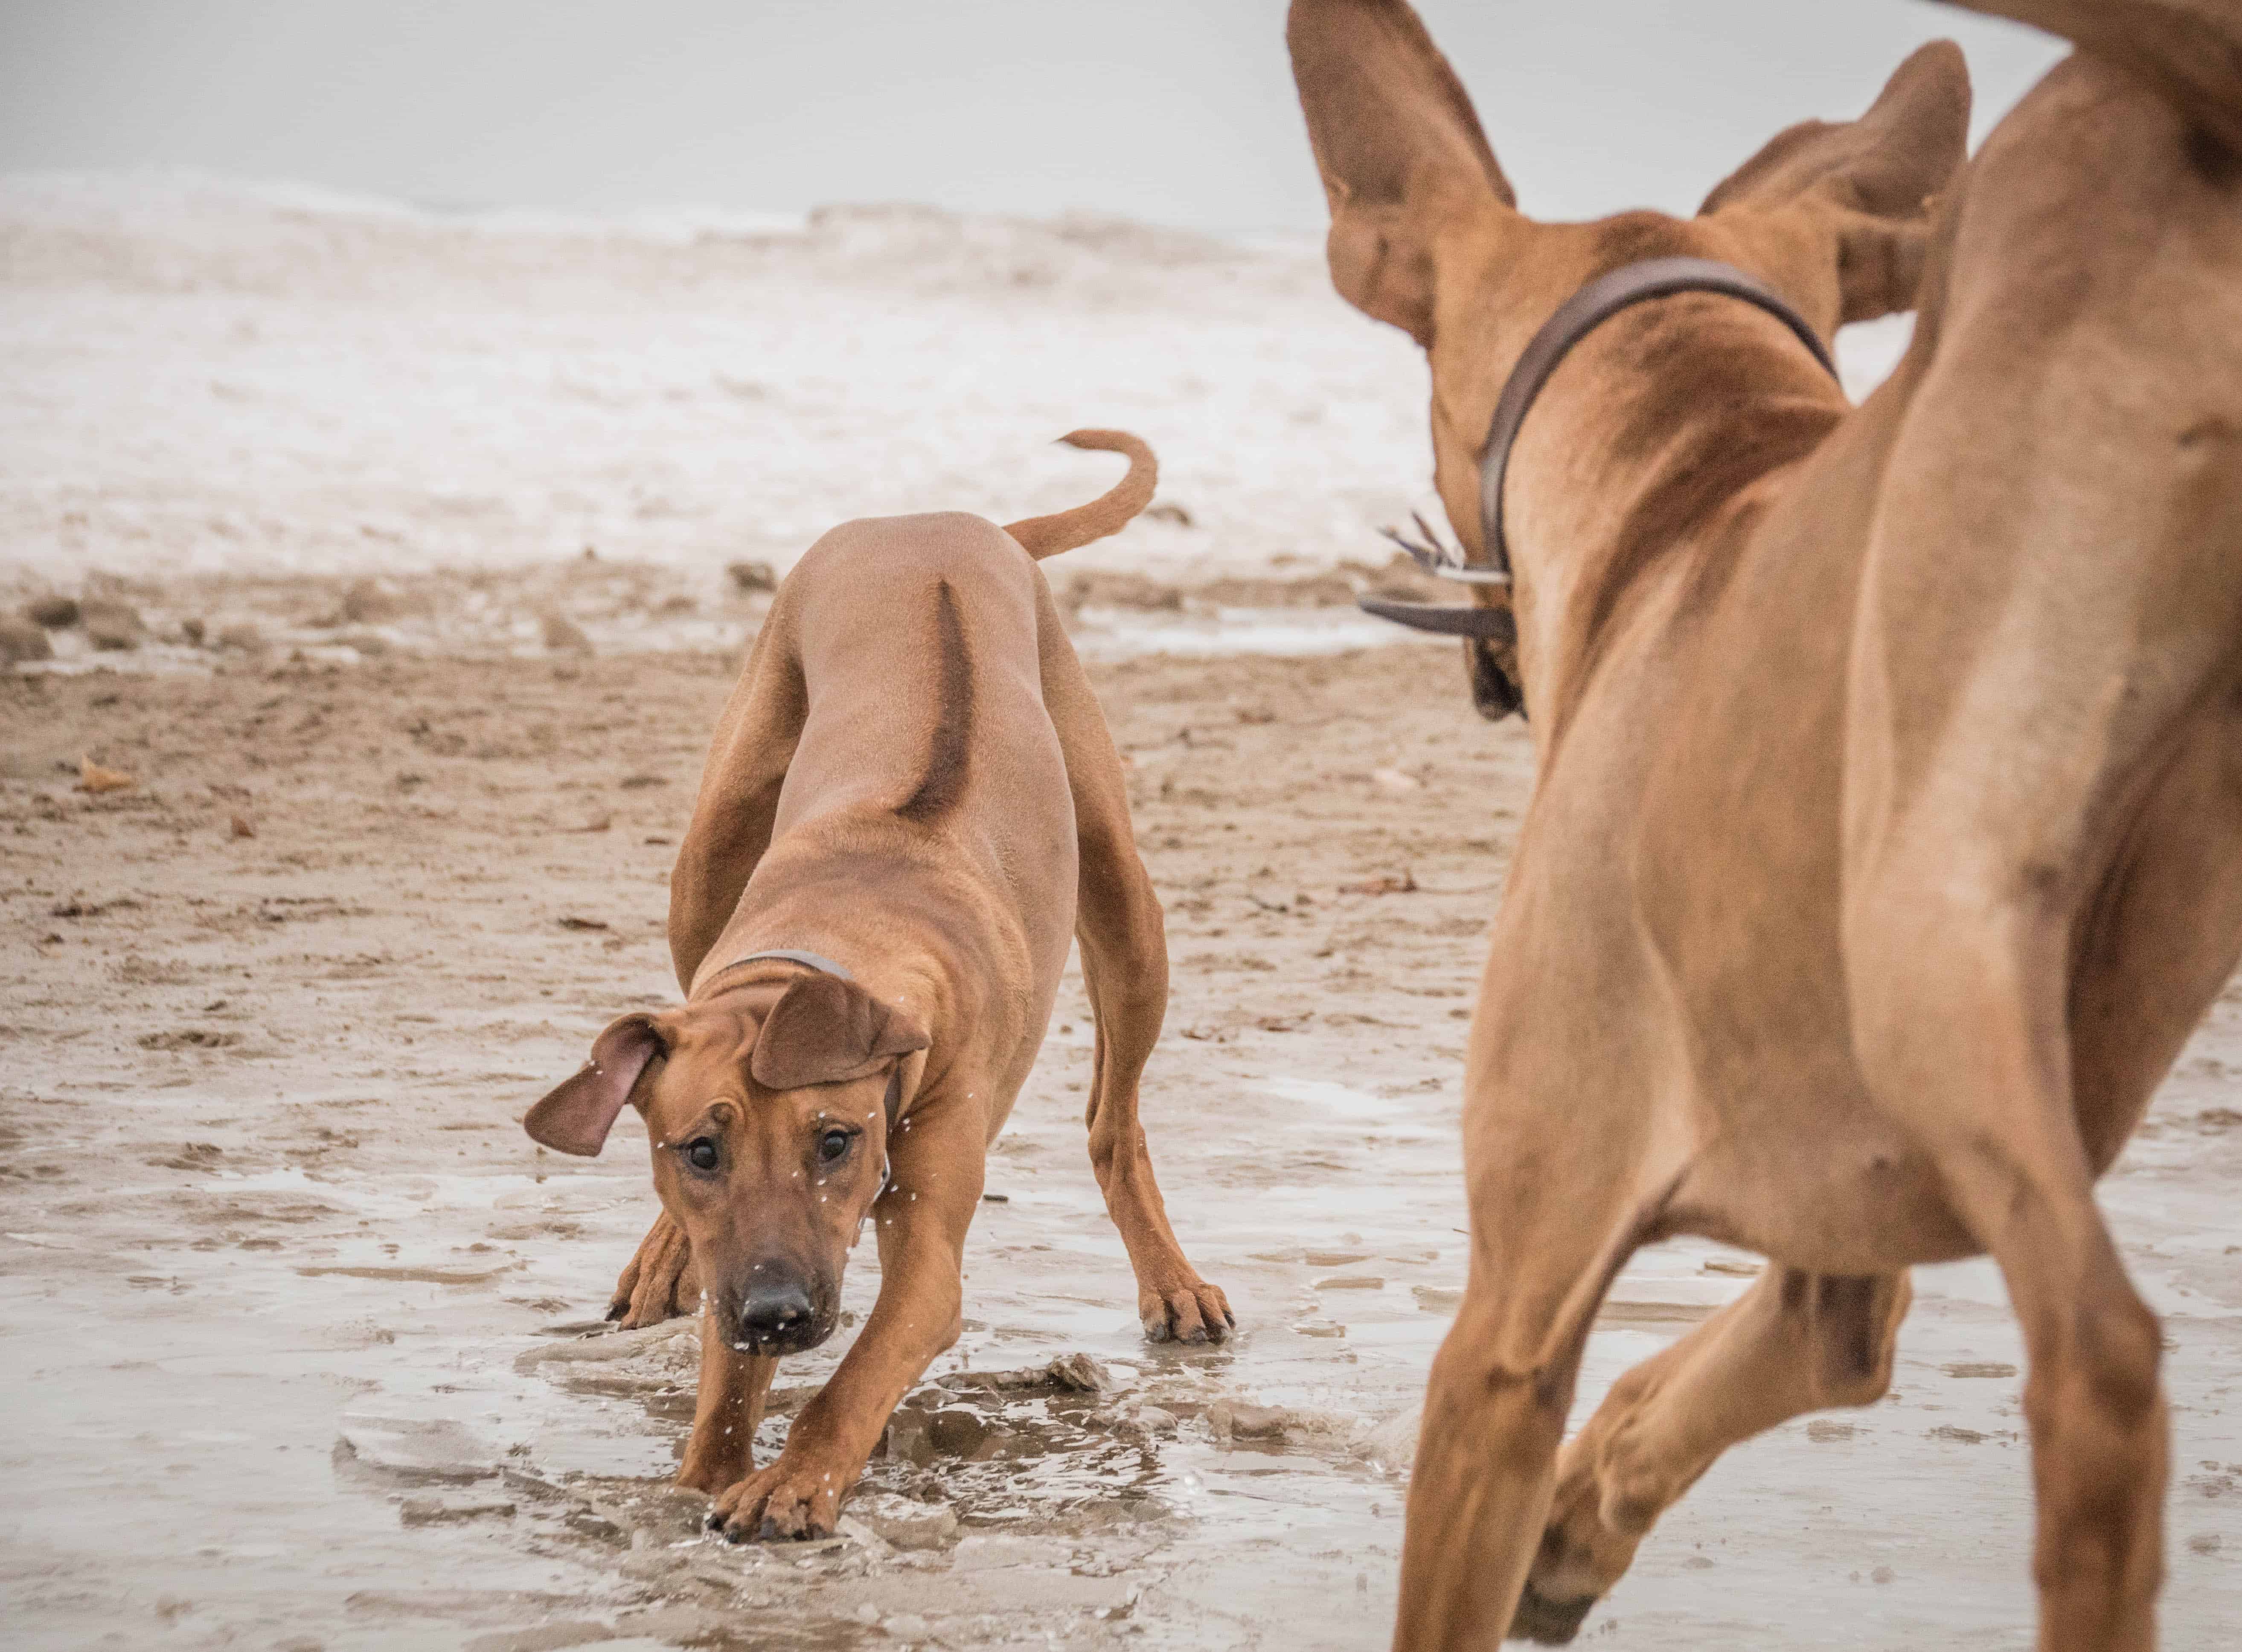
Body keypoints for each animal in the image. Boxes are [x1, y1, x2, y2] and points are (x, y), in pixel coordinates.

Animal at [522, 433, 1228, 1542]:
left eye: (835, 1141)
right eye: (701, 1150)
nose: (777, 1314)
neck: (834, 937)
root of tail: (945, 520)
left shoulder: (923, 1245)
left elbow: (857, 1370)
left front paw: (794, 1480)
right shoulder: (744, 1251)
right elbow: (725, 1382)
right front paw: (706, 1471)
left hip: (1126, 906)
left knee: (1114, 1120)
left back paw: (1171, 1281)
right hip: (707, 858)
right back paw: (662, 1261)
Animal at [1291, 3, 2242, 1649]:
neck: (1698, 469)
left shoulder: (1505, 1318)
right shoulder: (1839, 1240)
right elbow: (1814, 1335)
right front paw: (1581, 1511)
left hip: (1931, 908)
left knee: (2103, 1360)